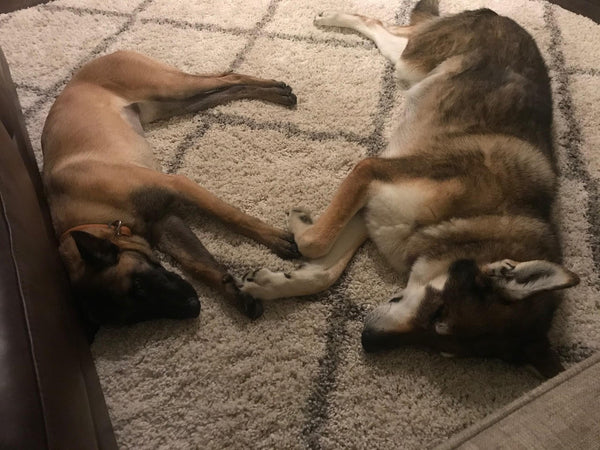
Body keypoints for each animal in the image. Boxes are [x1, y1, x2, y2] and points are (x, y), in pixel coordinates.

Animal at [42, 51, 298, 336]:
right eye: (132, 320)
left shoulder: (178, 185)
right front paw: (236, 294)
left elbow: (232, 216)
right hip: (173, 104)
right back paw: (276, 92)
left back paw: (276, 90)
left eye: (138, 286)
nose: (193, 308)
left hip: (168, 87)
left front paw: (276, 239)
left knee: (229, 77)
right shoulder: (166, 224)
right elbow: (199, 265)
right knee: (226, 88)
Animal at [241, 0, 580, 376]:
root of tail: (499, 14)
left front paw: (272, 284)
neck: (474, 220)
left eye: (445, 352)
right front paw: (300, 227)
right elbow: (316, 242)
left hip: (410, 65)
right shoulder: (371, 172)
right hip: (411, 62)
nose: (368, 341)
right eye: (439, 312)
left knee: (390, 31)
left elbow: (325, 270)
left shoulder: (374, 217)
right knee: (381, 24)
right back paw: (332, 17)